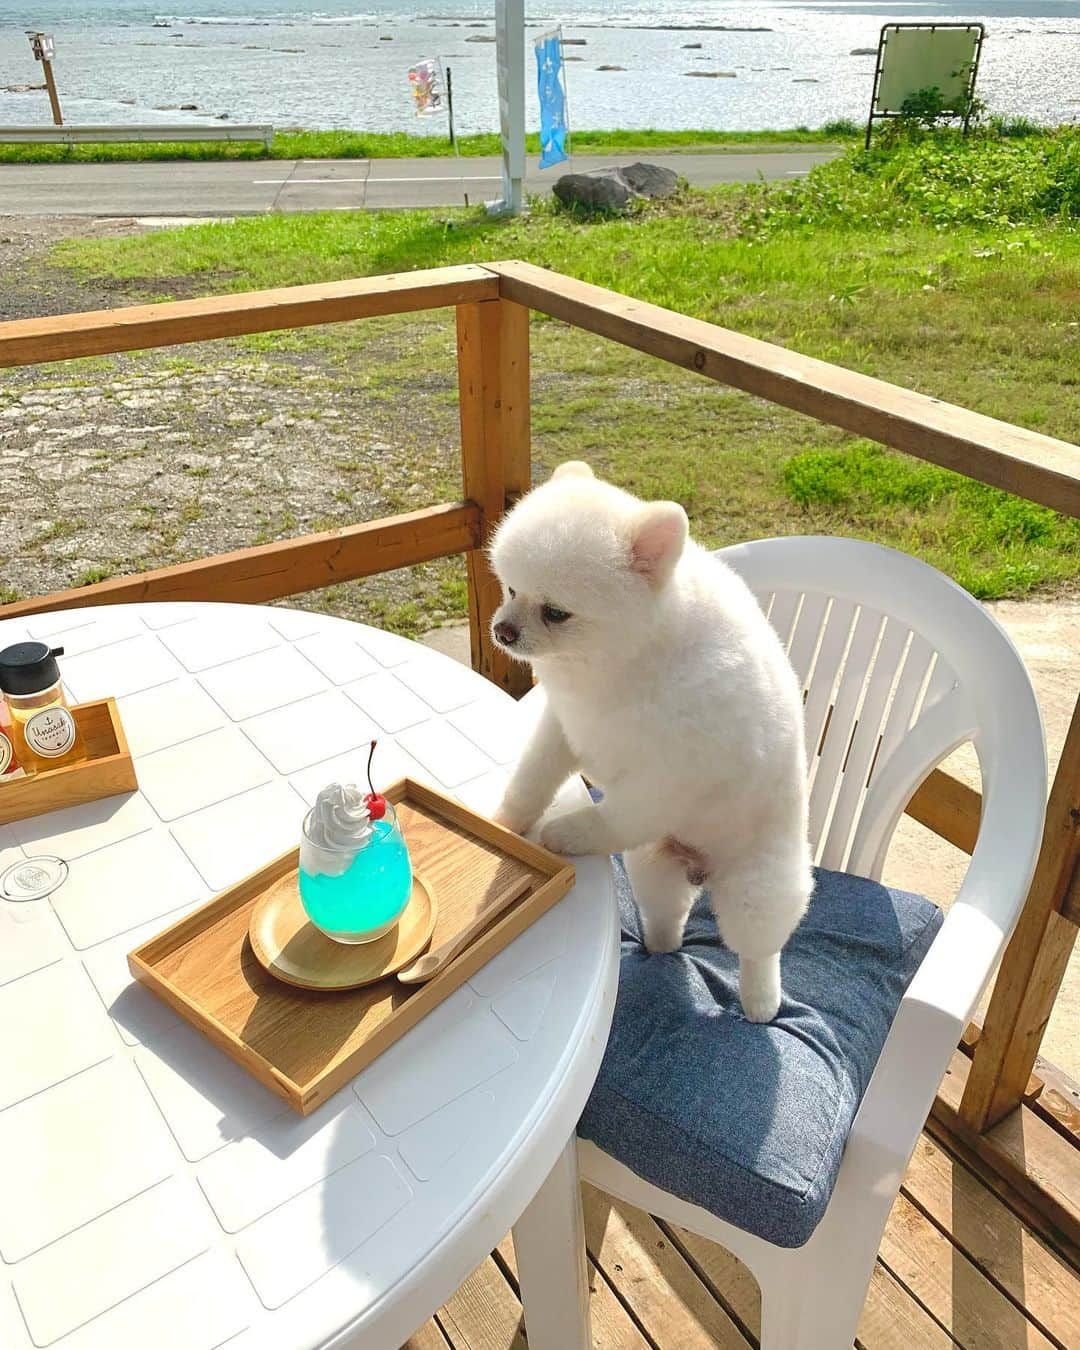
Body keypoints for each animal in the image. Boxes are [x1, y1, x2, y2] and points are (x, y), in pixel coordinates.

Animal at [488, 464, 810, 1020]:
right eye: (510, 589)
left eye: (555, 612)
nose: (503, 631)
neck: (626, 661)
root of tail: (705, 869)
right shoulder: (565, 724)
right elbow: (533, 778)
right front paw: (510, 822)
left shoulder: (669, 776)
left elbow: (611, 816)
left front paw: (564, 834)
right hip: (656, 865)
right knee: (667, 915)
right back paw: (660, 945)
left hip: (758, 887)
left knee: (760, 947)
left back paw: (761, 1001)